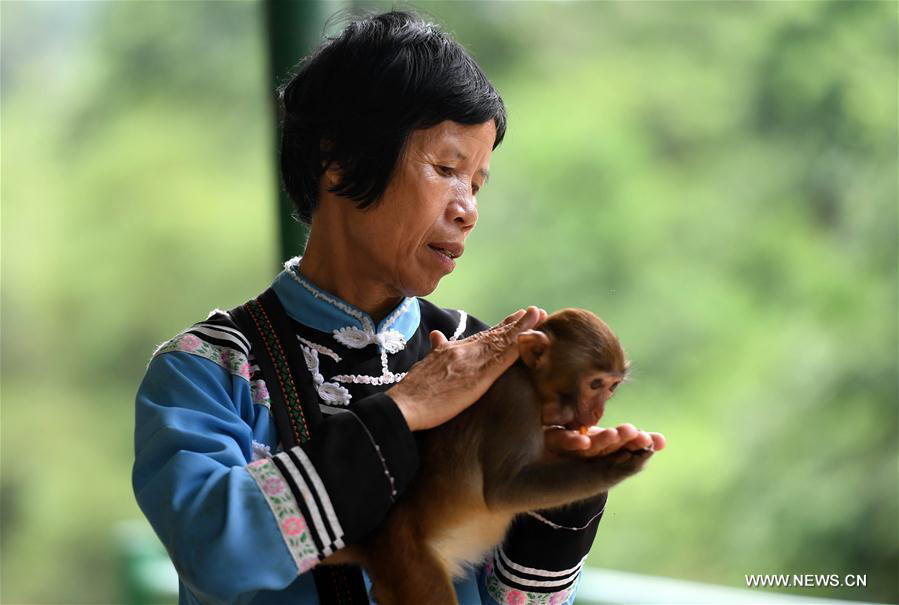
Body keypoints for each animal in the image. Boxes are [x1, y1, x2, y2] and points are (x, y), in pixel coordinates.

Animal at [324, 308, 655, 605]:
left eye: (611, 387)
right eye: (595, 384)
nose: (598, 412)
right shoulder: (517, 398)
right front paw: (614, 462)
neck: (527, 376)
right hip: (412, 566)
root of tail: (376, 542)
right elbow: (503, 491)